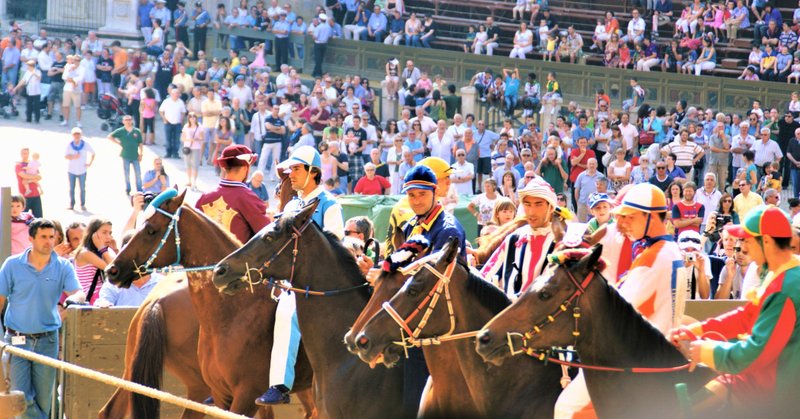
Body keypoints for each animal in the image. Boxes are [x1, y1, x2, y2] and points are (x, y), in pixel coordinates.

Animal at [99, 181, 312, 419]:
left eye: (151, 229)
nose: (113, 270)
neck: (239, 309)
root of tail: (155, 303)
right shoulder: (232, 395)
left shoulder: (247, 395)